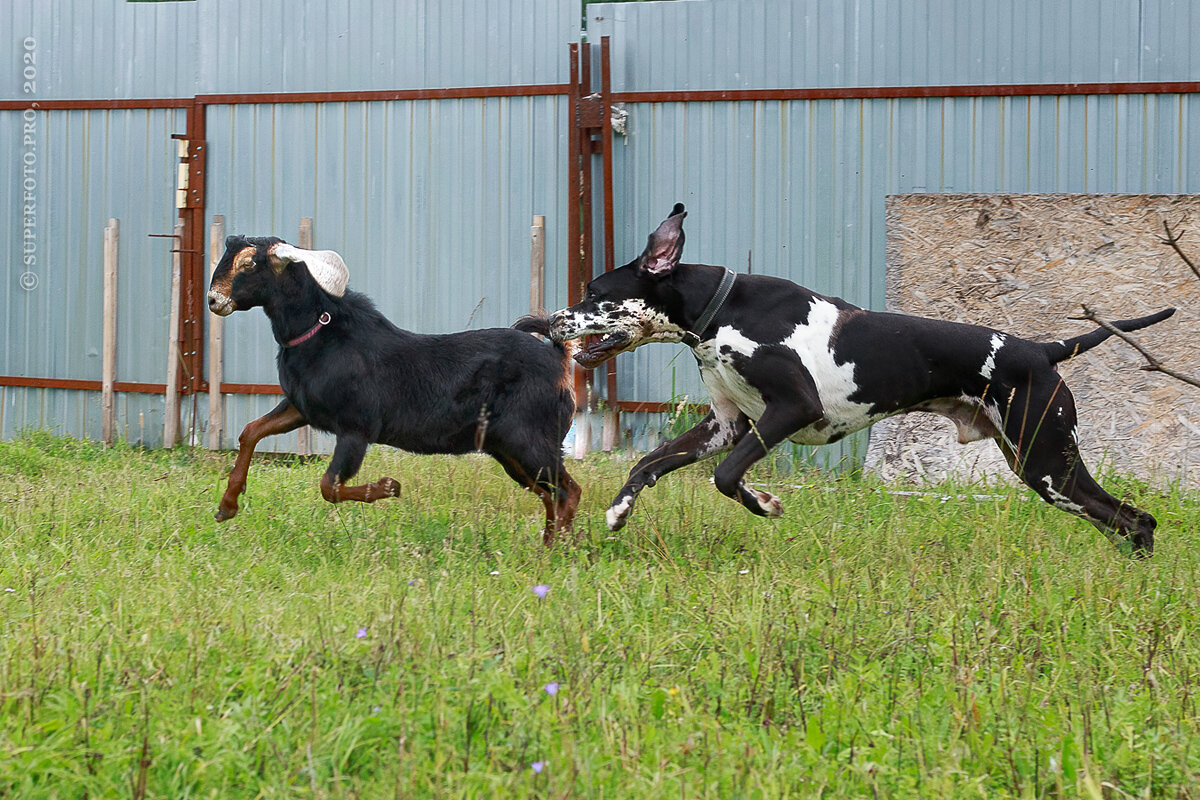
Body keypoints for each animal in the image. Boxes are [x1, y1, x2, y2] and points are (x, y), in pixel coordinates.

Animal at [206, 235, 580, 542]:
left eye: (250, 263)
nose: (213, 299)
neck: (322, 334)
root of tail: (557, 357)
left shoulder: (356, 428)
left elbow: (329, 486)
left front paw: (390, 487)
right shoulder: (301, 408)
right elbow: (251, 431)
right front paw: (227, 506)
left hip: (530, 440)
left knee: (568, 492)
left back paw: (552, 556)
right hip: (509, 449)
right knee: (551, 494)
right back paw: (552, 547)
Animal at [549, 206, 1176, 556]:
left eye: (595, 293)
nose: (554, 320)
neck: (722, 310)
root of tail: (1043, 349)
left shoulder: (791, 410)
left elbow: (727, 479)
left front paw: (765, 503)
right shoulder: (726, 425)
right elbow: (647, 463)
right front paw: (620, 510)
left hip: (1046, 464)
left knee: (1134, 518)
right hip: (1042, 468)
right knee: (1125, 519)